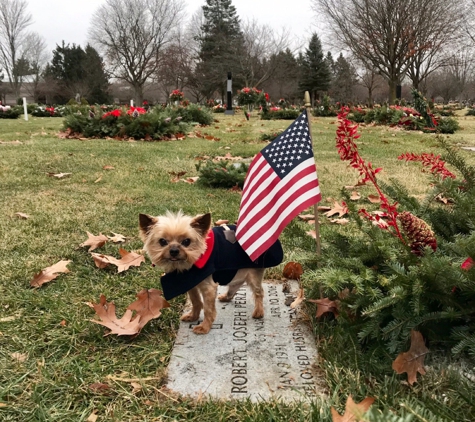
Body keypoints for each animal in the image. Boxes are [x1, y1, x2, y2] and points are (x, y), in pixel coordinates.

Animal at [140, 213, 282, 334]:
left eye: (186, 241)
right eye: (162, 241)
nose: (174, 250)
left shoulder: (208, 287)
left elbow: (208, 309)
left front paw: (204, 327)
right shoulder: (191, 283)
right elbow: (196, 302)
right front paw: (193, 316)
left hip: (253, 272)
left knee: (258, 291)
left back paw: (258, 312)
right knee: (237, 284)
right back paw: (227, 297)